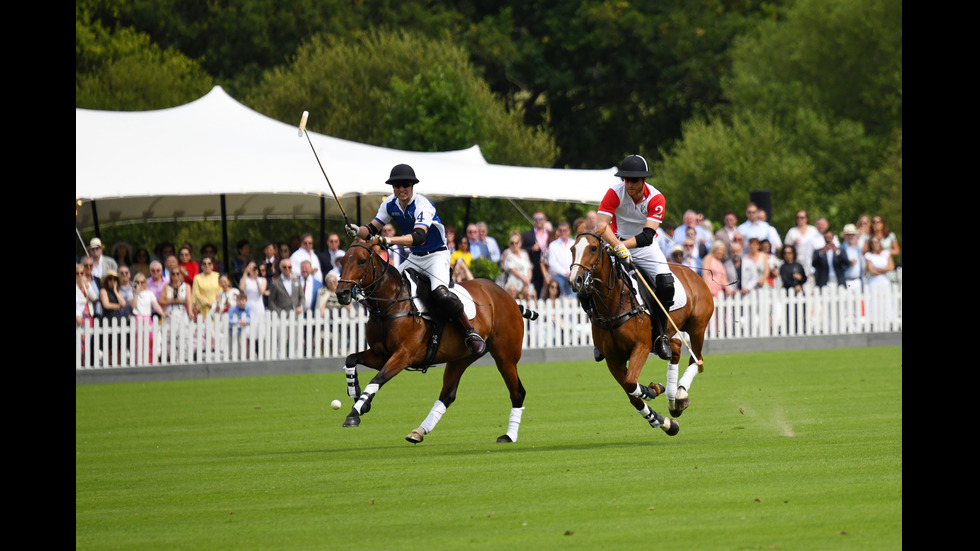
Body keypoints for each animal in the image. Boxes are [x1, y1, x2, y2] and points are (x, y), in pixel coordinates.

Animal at [334, 237, 536, 444]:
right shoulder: (381, 355)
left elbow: (377, 379)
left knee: (517, 392)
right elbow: (350, 359)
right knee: (448, 394)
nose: (341, 293)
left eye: (361, 261)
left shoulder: (404, 355)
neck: (390, 303)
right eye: (342, 261)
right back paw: (418, 431)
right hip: (461, 358)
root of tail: (510, 298)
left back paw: (509, 435)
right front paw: (355, 395)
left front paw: (355, 413)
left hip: (506, 356)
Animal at [568, 232, 712, 436]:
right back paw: (673, 400)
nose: (576, 280)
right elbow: (632, 396)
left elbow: (630, 383)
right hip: (667, 335)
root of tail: (693, 274)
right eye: (572, 248)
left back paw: (681, 394)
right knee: (675, 349)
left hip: (697, 327)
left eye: (593, 248)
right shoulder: (613, 359)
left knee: (696, 358)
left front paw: (652, 390)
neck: (613, 305)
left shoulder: (641, 346)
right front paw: (664, 422)